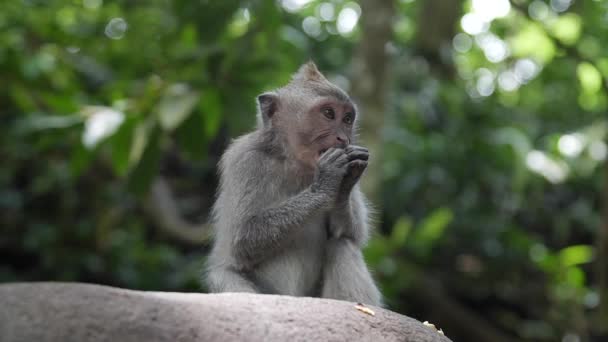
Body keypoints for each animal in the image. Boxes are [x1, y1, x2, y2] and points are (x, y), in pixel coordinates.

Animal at [207, 62, 382, 308]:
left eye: (348, 119)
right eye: (329, 114)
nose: (343, 139)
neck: (294, 163)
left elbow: (350, 233)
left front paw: (346, 182)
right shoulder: (246, 161)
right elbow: (243, 239)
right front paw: (326, 182)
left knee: (342, 245)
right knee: (223, 275)